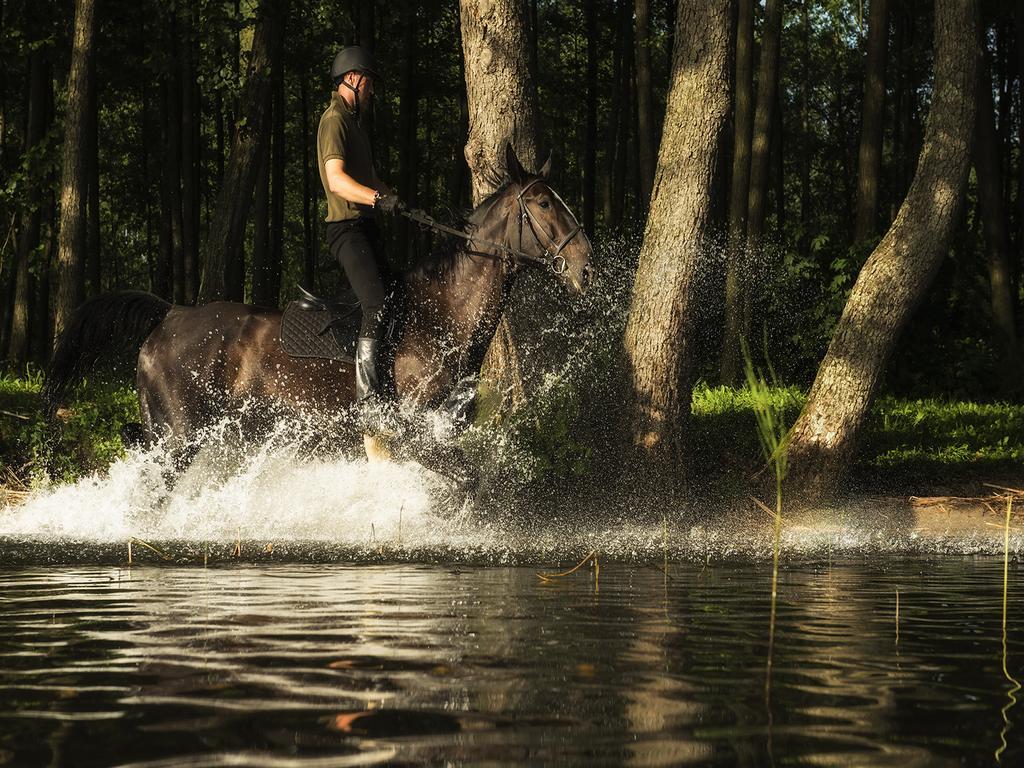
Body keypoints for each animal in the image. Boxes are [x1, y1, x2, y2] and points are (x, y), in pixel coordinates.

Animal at [46, 146, 593, 462]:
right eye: (544, 203)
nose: (585, 266)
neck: (443, 314)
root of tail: (170, 313)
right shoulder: (415, 428)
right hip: (177, 437)